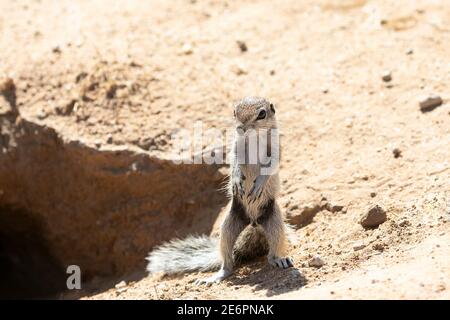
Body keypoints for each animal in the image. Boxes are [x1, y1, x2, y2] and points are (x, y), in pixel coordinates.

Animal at [148, 97, 294, 282]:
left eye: (262, 114)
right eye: (235, 112)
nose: (241, 128)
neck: (254, 137)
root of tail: (254, 224)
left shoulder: (275, 146)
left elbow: (272, 163)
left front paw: (259, 183)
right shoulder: (236, 146)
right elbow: (235, 160)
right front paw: (237, 179)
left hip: (274, 220)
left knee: (274, 248)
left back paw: (279, 260)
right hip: (229, 224)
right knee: (227, 257)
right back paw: (218, 275)